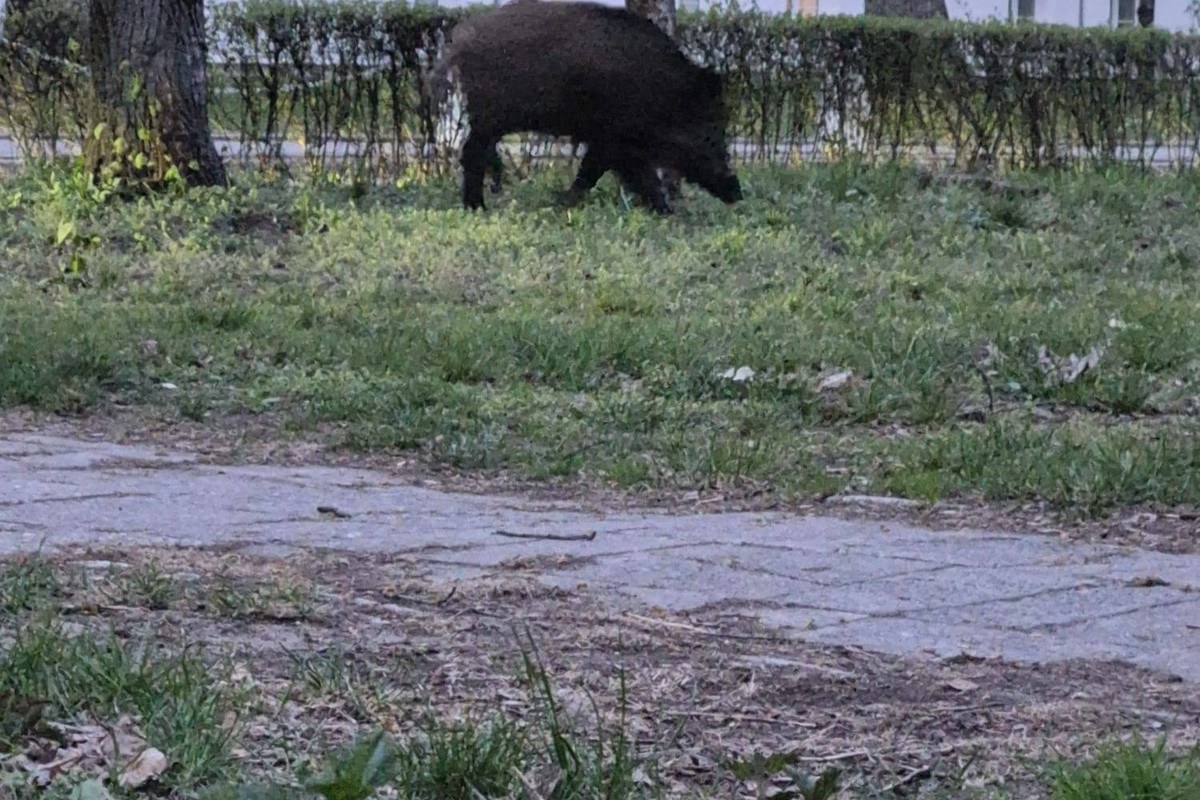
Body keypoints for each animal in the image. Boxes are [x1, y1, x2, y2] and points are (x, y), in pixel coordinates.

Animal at [426, 0, 742, 213]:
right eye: (710, 128)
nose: (737, 192)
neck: (664, 98)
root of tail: (459, 41)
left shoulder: (616, 142)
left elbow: (618, 174)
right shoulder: (612, 138)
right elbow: (598, 173)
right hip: (489, 117)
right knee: (471, 152)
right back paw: (477, 207)